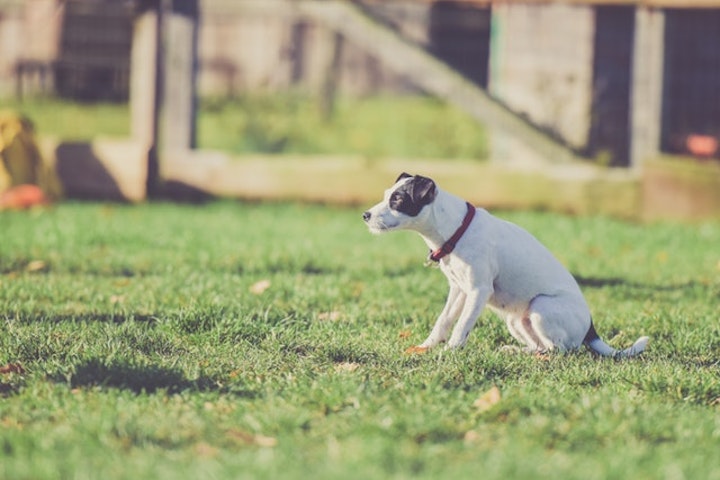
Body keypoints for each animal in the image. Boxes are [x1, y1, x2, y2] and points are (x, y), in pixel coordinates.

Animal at [362, 172, 648, 356]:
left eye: (398, 200)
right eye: (386, 195)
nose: (365, 215)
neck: (456, 230)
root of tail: (590, 329)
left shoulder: (477, 291)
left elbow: (462, 325)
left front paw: (450, 352)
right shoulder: (459, 290)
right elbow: (443, 320)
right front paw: (426, 347)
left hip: (540, 307)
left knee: (559, 350)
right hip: (516, 320)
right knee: (541, 346)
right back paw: (516, 350)